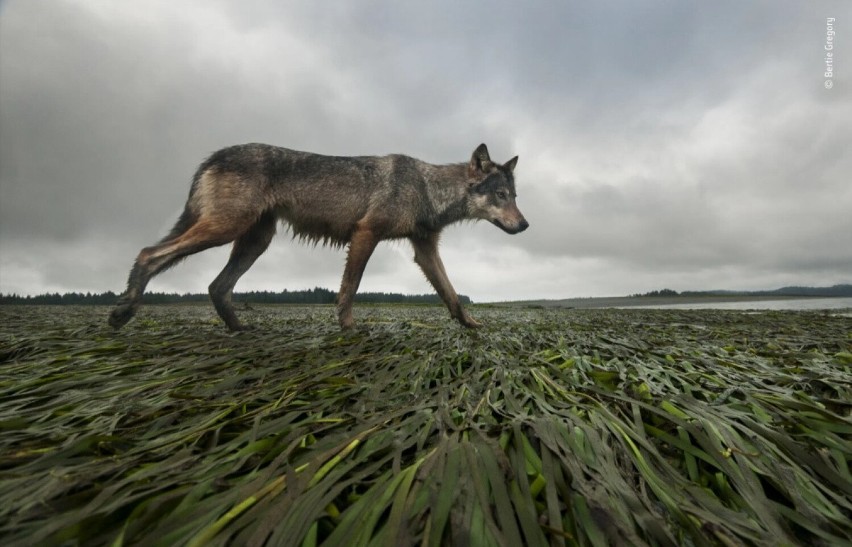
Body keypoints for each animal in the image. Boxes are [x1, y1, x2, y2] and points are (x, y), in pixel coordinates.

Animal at [108, 142, 524, 330]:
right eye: (501, 195)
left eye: (516, 197)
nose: (525, 226)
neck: (426, 188)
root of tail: (213, 156)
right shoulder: (365, 234)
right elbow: (349, 289)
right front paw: (349, 328)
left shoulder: (425, 250)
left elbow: (451, 293)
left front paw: (471, 326)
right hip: (225, 230)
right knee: (148, 253)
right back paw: (123, 311)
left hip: (253, 241)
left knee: (215, 286)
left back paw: (240, 329)